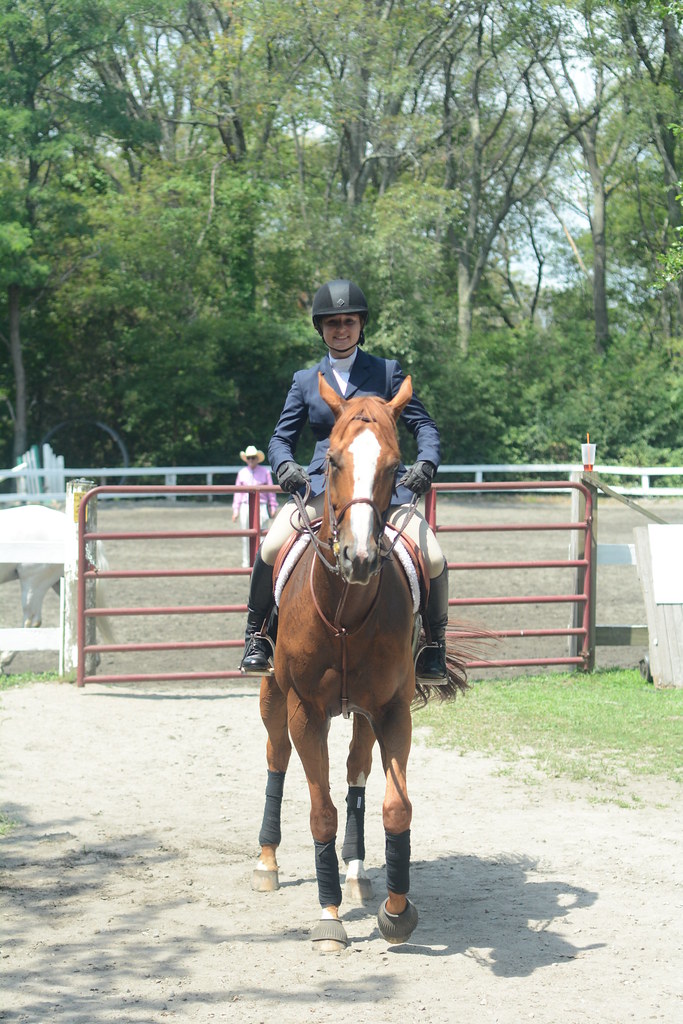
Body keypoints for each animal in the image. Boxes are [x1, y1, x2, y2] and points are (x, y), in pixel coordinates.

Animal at [251, 373, 468, 952]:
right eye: (331, 462)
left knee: (355, 772)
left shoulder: (392, 710)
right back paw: (267, 862)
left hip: (364, 714)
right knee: (277, 759)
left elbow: (395, 806)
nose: (360, 558)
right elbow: (320, 812)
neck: (345, 611)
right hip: (273, 695)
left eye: (395, 465)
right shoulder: (305, 711)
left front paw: (397, 910)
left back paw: (356, 871)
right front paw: (329, 918)